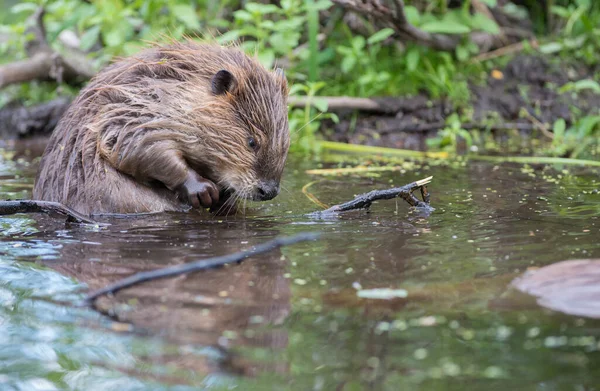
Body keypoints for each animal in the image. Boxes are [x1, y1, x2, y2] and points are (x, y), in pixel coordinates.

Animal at [32, 41, 290, 216]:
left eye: (286, 144)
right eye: (252, 142)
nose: (269, 190)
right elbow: (131, 142)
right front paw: (204, 190)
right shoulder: (130, 109)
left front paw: (222, 197)